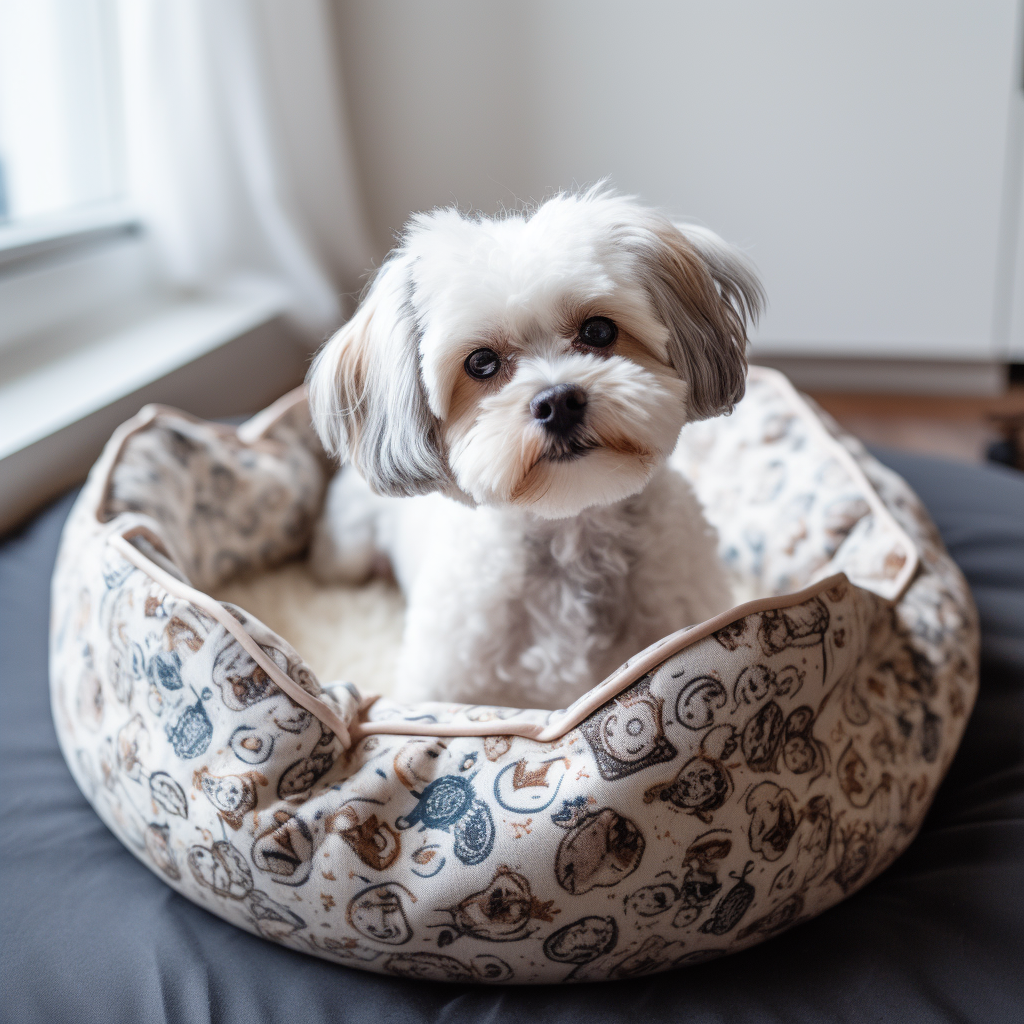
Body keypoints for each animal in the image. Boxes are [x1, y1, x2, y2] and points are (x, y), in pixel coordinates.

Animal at [303, 188, 761, 708]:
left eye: (599, 331)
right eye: (480, 362)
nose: (558, 401)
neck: (571, 530)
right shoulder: (442, 687)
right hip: (344, 554)